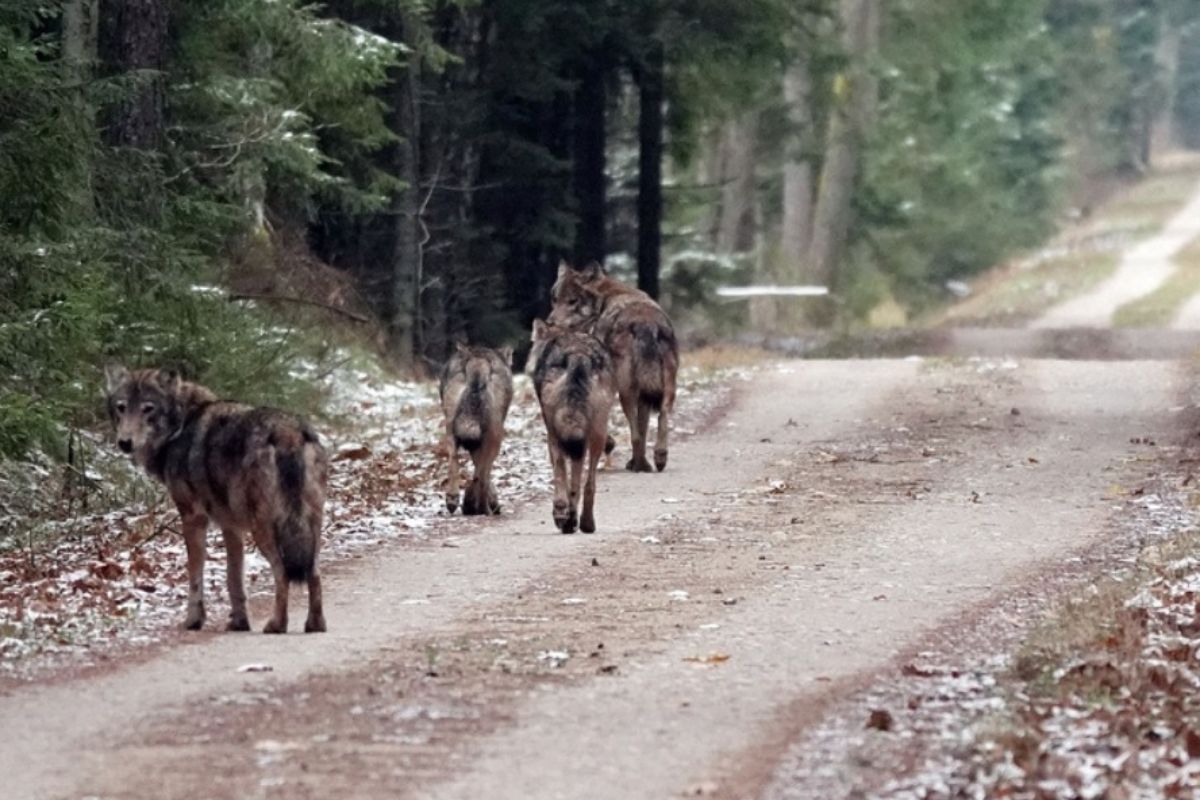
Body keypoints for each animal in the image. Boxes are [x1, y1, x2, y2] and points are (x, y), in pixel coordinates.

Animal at [103, 367, 326, 633]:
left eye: (148, 408)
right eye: (122, 407)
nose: (125, 442)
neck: (181, 425)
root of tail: (287, 431)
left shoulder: (193, 517)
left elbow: (195, 575)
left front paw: (193, 620)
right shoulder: (230, 527)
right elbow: (234, 579)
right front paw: (239, 622)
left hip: (264, 528)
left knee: (283, 572)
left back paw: (276, 625)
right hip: (309, 526)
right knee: (314, 572)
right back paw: (315, 624)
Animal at [441, 343, 516, 515]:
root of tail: (478, 364)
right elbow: (483, 473)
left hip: (450, 429)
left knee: (453, 460)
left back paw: (453, 499)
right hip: (496, 437)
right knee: (482, 476)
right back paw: (484, 509)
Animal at [530, 316, 614, 532]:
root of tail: (578, 353)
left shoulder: (552, 432)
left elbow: (562, 473)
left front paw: (567, 516)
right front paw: (572, 517)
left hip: (557, 431)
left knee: (566, 472)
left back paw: (569, 518)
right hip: (596, 431)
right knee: (588, 482)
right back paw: (579, 520)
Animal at [549, 262, 681, 472]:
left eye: (572, 301)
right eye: (554, 299)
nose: (550, 323)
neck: (603, 299)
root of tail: (646, 323)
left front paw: (609, 444)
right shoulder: (644, 394)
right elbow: (644, 427)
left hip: (625, 391)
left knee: (635, 433)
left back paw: (640, 464)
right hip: (666, 386)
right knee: (661, 416)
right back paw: (657, 458)